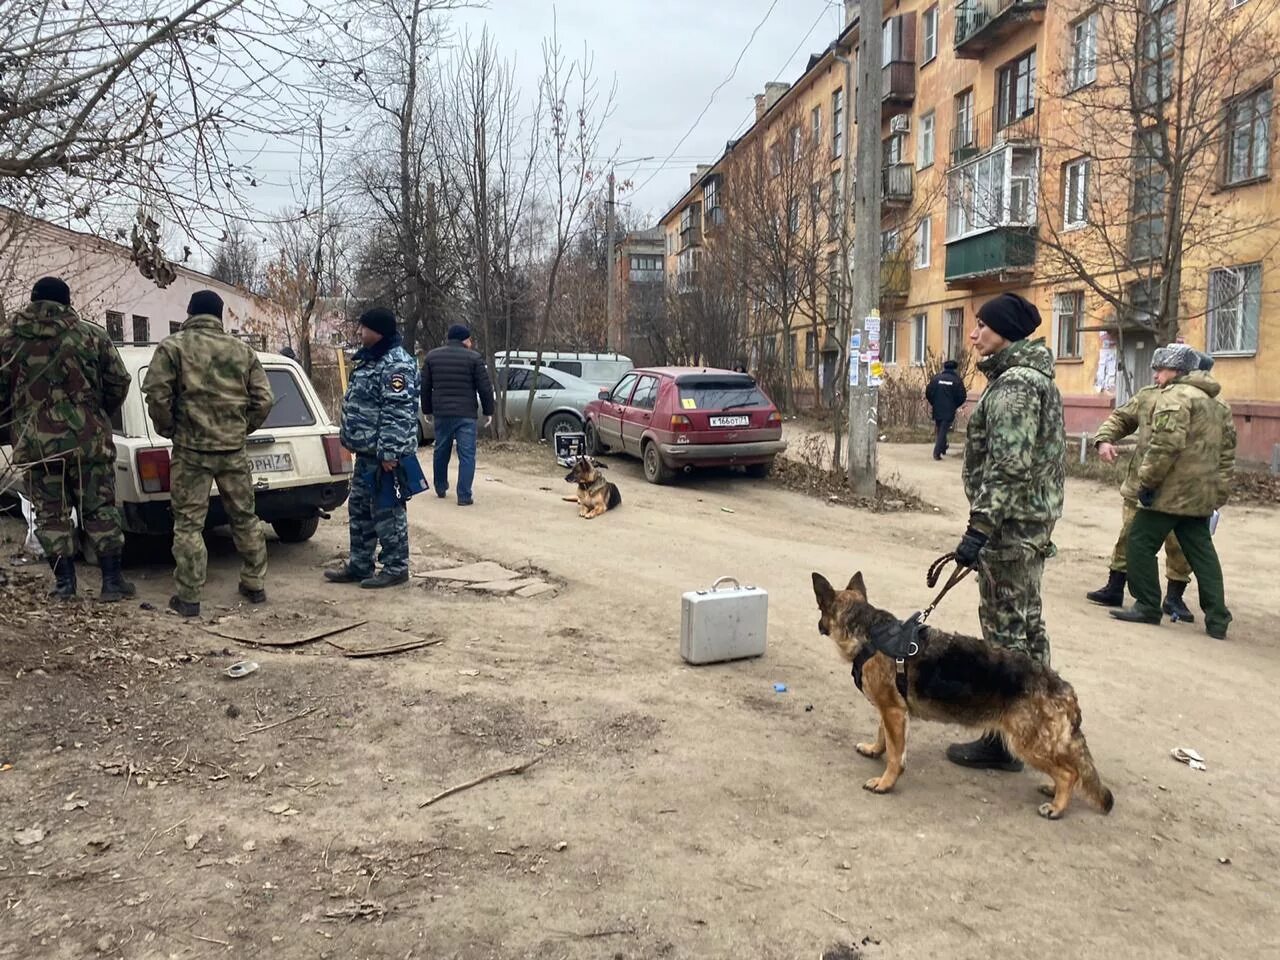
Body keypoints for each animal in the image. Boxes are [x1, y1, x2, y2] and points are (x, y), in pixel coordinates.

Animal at [814, 576, 1116, 824]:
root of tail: (1063, 686)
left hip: (1027, 744)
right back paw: (1054, 791)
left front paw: (885, 782)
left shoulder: (893, 711)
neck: (869, 631)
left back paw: (1057, 806)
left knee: (1069, 773)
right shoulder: (891, 709)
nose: (818, 625)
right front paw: (875, 749)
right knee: (1068, 769)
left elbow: (896, 755)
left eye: (820, 610)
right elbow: (883, 736)